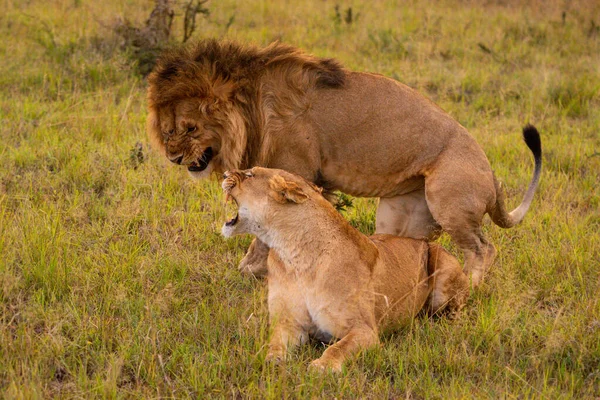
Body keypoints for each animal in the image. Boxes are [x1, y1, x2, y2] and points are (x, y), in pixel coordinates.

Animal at [146, 39, 544, 286]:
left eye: (191, 128)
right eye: (168, 130)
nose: (174, 157)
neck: (251, 107)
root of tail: (491, 175)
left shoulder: (298, 173)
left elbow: (264, 234)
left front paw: (250, 270)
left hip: (449, 199)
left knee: (483, 248)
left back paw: (472, 289)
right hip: (401, 216)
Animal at [220, 168, 468, 372]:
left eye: (250, 174)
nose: (223, 174)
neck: (294, 255)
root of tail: (421, 241)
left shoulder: (365, 330)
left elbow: (338, 348)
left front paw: (323, 366)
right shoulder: (289, 322)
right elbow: (274, 343)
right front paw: (271, 359)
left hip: (442, 270)